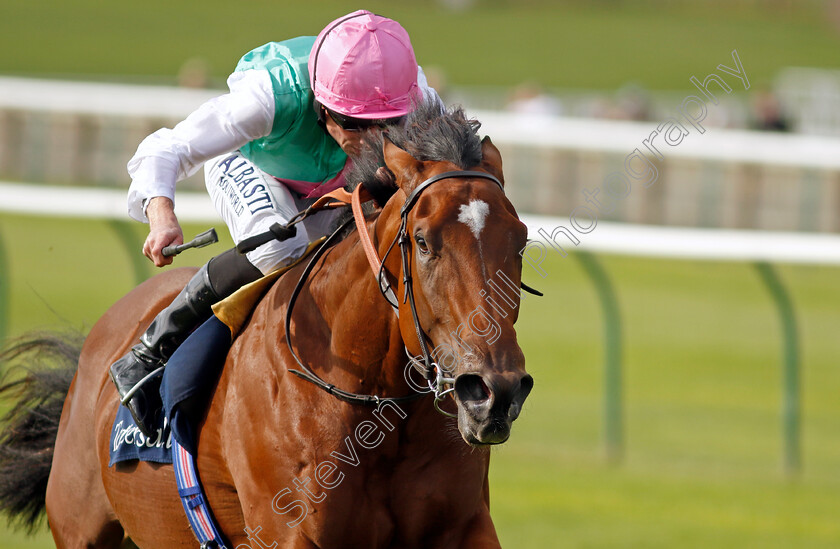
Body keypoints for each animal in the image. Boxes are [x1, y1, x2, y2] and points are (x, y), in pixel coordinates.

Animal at [0, 104, 536, 548]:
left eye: (522, 240)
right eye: (422, 241)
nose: (495, 392)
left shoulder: (465, 527)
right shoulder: (290, 531)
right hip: (83, 527)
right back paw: (138, 364)